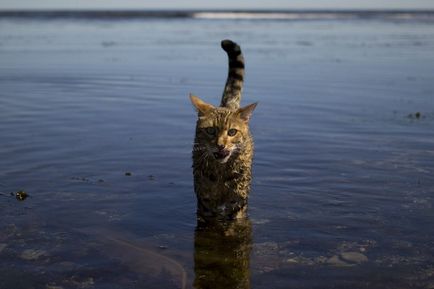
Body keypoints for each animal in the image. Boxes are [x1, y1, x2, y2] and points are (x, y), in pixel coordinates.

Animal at [191, 39, 258, 219]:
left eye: (232, 132)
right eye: (210, 130)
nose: (220, 145)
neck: (221, 174)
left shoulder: (238, 201)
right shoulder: (204, 202)